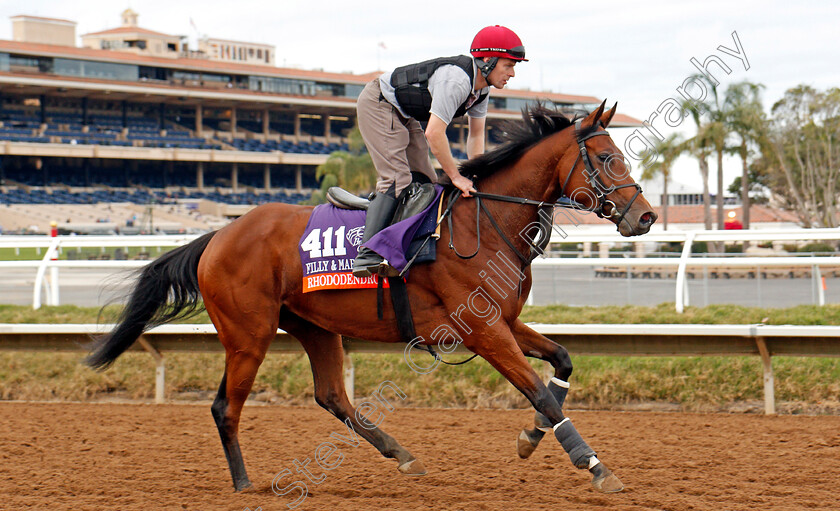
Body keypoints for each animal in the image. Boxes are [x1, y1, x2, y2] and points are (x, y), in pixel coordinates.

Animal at [87, 100, 656, 496]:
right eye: (608, 158)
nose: (646, 216)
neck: (484, 222)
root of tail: (218, 236)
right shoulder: (483, 330)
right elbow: (539, 391)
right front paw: (595, 466)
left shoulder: (503, 321)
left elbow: (561, 361)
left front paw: (531, 437)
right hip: (249, 334)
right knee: (226, 406)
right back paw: (245, 484)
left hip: (314, 327)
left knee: (332, 396)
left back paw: (402, 455)